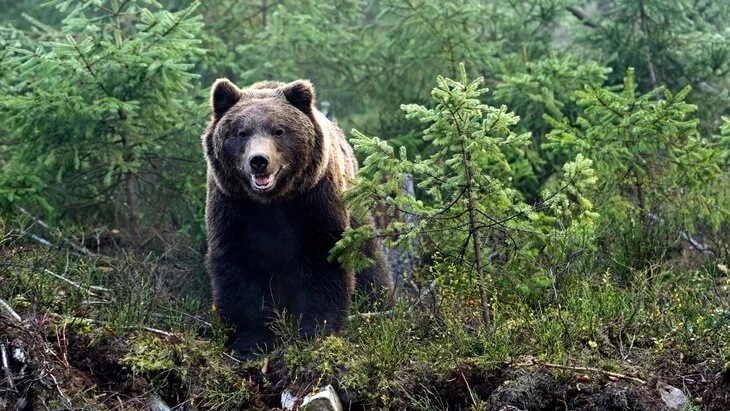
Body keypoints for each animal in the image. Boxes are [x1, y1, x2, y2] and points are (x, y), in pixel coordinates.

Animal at [199, 79, 392, 358]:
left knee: (369, 261)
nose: (259, 161)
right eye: (242, 132)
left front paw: (315, 331)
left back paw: (380, 304)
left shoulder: (313, 200)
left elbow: (323, 259)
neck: (272, 201)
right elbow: (239, 268)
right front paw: (251, 342)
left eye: (278, 130)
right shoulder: (233, 207)